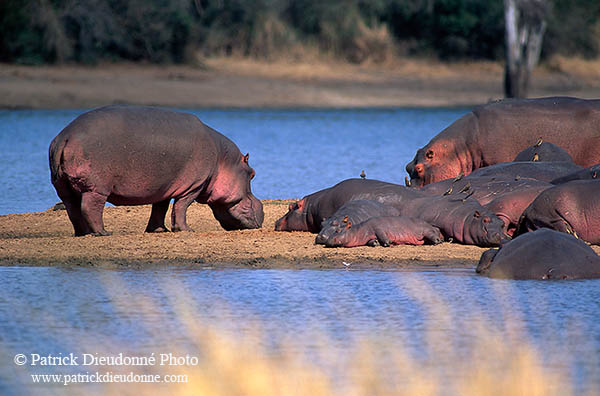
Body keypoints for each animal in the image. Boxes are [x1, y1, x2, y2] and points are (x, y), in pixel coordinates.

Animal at [50, 104, 266, 235]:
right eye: (253, 174)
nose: (263, 209)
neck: (223, 160)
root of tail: (65, 136)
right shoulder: (194, 186)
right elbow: (181, 207)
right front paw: (186, 230)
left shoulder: (164, 187)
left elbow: (160, 208)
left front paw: (159, 230)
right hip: (97, 188)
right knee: (90, 207)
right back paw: (103, 232)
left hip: (63, 187)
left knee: (73, 209)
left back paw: (83, 233)